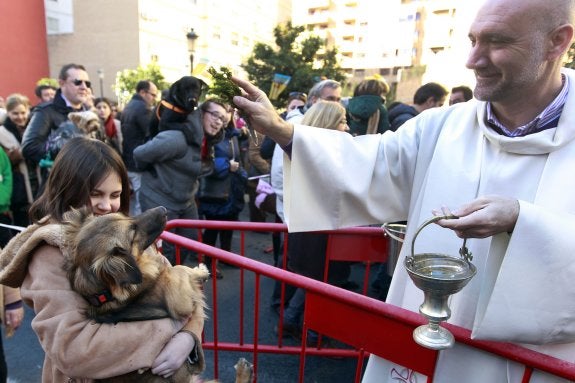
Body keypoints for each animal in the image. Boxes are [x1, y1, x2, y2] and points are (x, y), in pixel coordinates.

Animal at [62, 207, 209, 383]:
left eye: (124, 215)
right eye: (132, 232)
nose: (163, 209)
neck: (106, 294)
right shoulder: (178, 300)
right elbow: (177, 269)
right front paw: (200, 272)